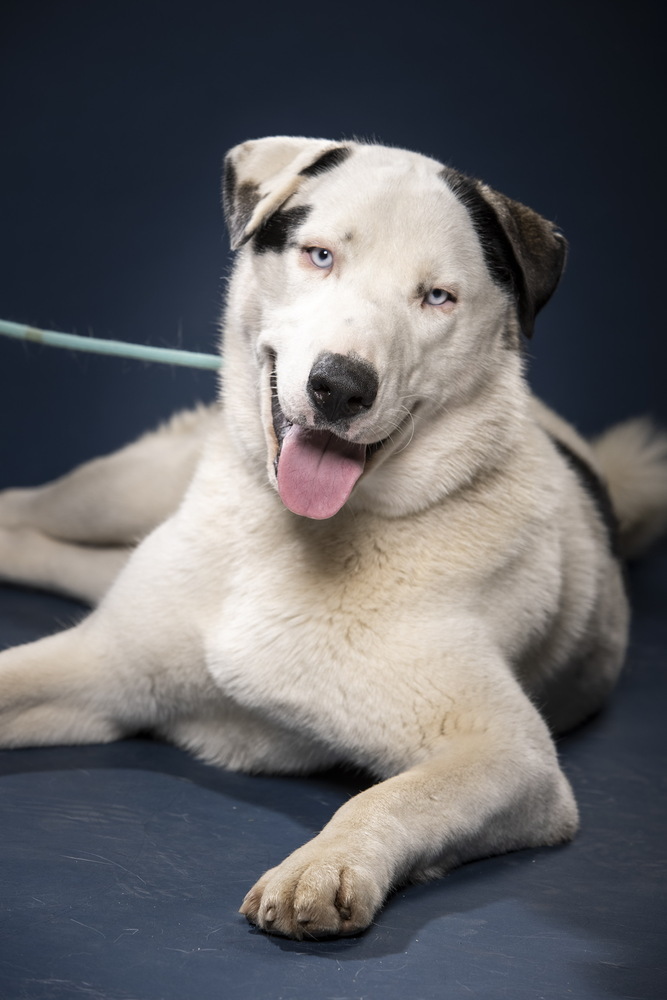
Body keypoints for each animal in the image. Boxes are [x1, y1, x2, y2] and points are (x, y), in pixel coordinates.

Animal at [1, 137, 667, 940]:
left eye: (436, 297)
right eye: (320, 255)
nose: (341, 387)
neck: (289, 538)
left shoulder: (511, 757)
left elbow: (393, 795)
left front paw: (325, 865)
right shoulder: (100, 664)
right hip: (119, 491)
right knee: (27, 508)